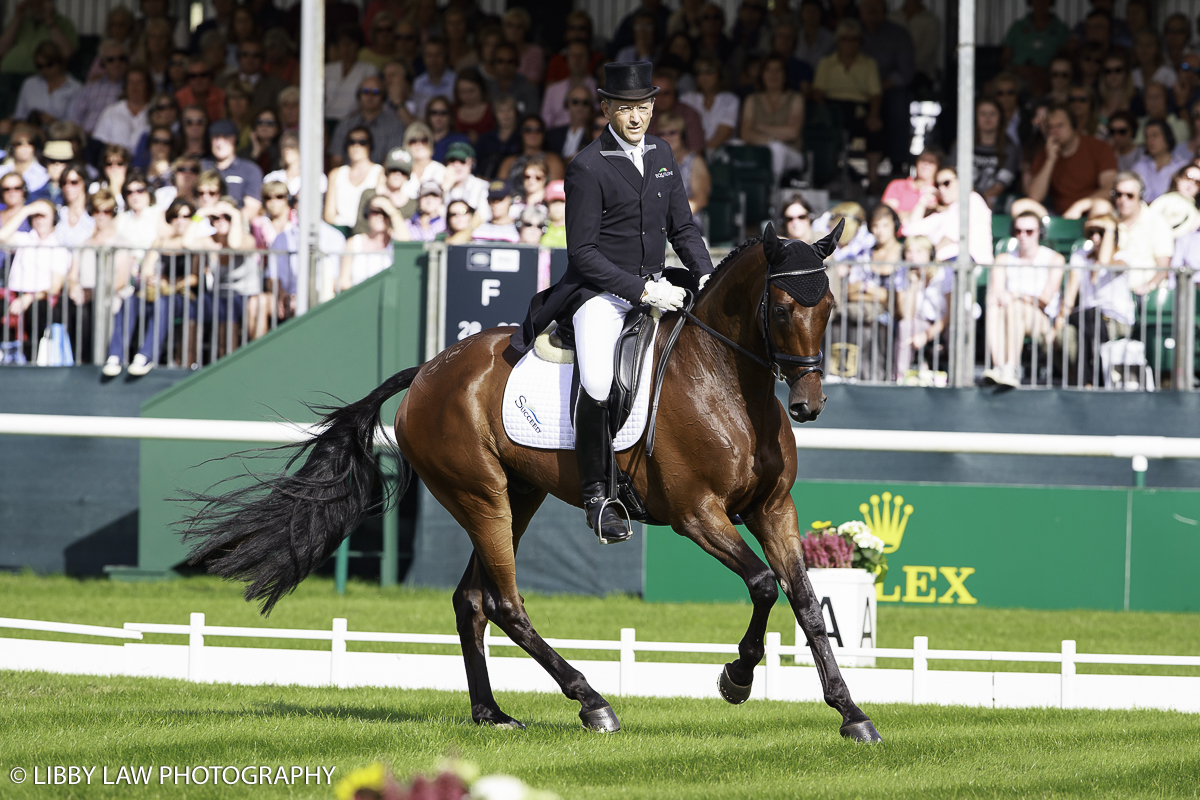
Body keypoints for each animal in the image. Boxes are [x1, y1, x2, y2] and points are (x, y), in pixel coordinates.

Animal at [184, 220, 883, 743]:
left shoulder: (773, 508)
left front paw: (851, 713)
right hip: (481, 496)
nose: (809, 405)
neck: (728, 383)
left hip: (518, 496)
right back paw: (592, 701)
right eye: (786, 306)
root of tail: (428, 370)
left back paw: (492, 713)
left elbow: (804, 601)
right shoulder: (697, 515)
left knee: (471, 600)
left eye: (831, 308)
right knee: (504, 603)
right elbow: (764, 584)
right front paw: (736, 679)